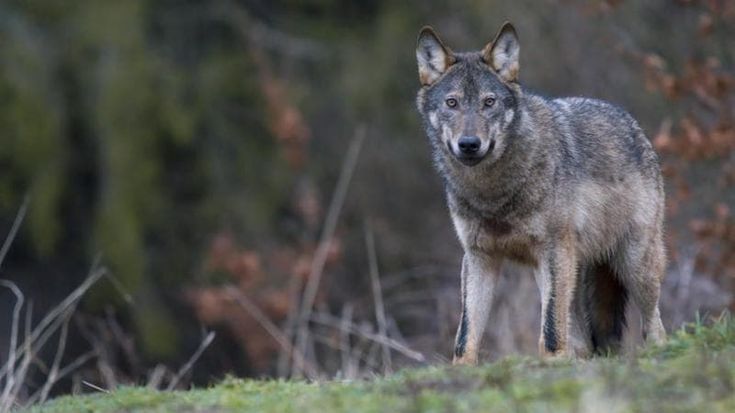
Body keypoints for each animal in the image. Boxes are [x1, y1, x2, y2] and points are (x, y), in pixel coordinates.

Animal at [415, 22, 667, 364]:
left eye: (489, 102)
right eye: (451, 103)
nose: (468, 144)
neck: (494, 194)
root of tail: (632, 124)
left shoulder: (553, 249)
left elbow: (549, 330)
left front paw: (552, 363)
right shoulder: (479, 257)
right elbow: (466, 334)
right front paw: (462, 369)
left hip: (632, 264)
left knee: (654, 325)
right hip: (565, 271)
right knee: (583, 339)